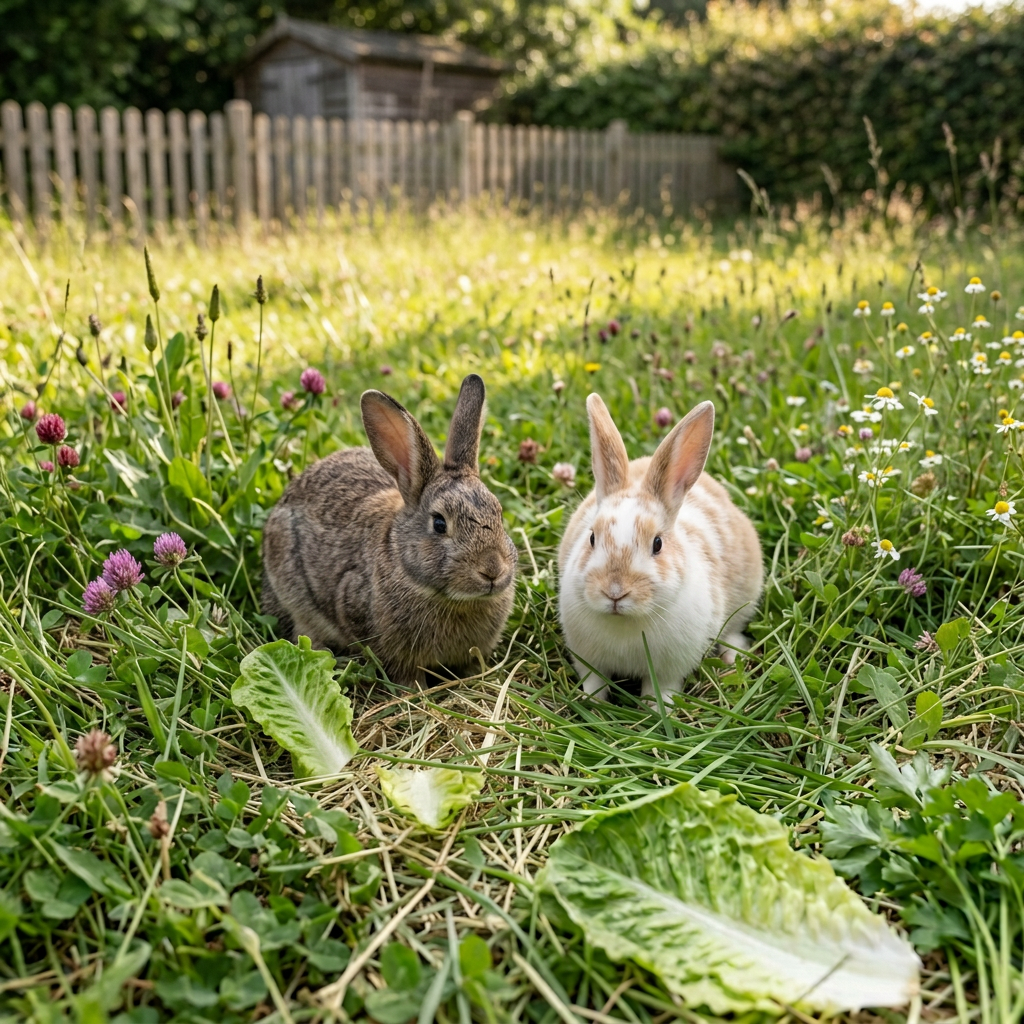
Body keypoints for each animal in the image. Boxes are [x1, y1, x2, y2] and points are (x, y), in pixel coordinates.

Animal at [558, 395, 763, 700]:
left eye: (658, 544)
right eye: (592, 537)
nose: (615, 592)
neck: (625, 622)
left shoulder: (670, 670)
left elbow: (662, 689)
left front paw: (657, 706)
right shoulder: (588, 660)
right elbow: (595, 682)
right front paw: (589, 701)